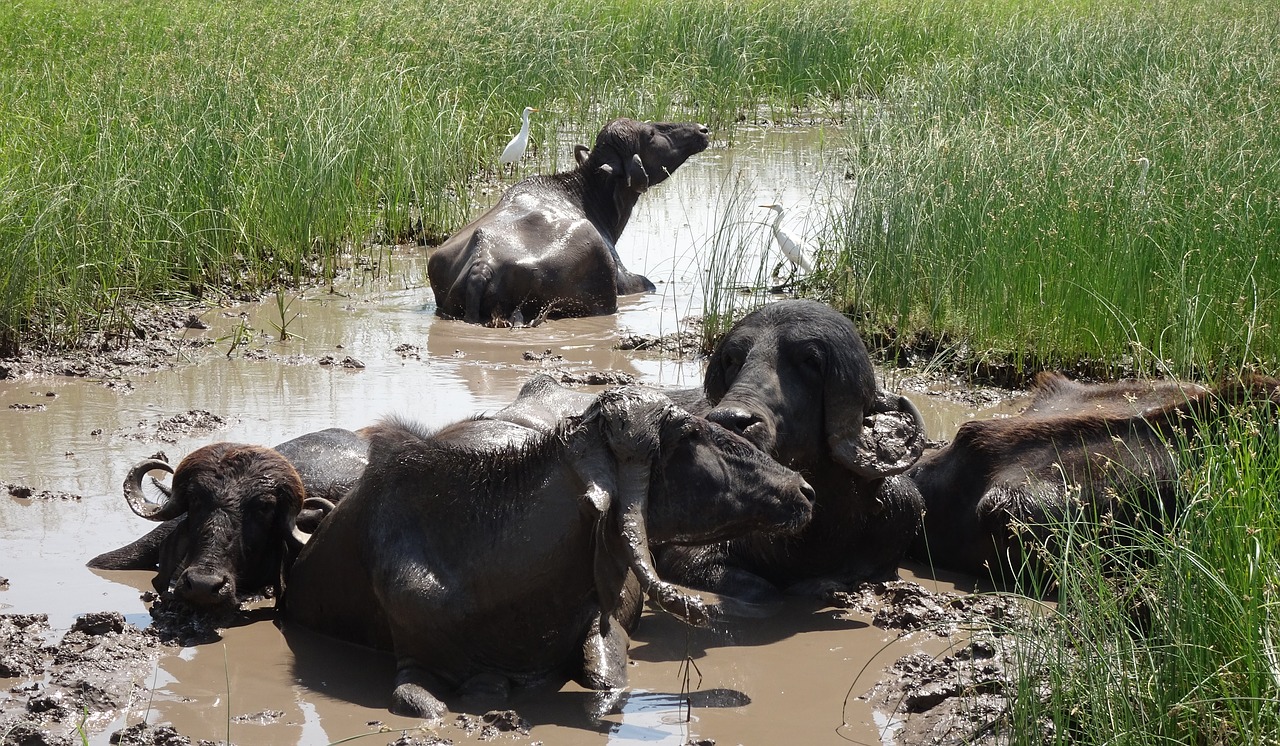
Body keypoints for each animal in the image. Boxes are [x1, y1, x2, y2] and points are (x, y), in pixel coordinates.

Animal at [285, 386, 814, 716]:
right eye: (690, 434)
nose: (804, 489)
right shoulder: (415, 663)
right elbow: (419, 703)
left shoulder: (602, 629)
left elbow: (606, 687)